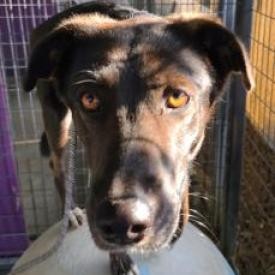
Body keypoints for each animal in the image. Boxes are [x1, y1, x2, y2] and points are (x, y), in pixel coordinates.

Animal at [23, 1, 254, 274]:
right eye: (89, 99)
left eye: (177, 96)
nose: (121, 222)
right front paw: (119, 257)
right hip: (56, 119)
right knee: (57, 164)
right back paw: (69, 214)